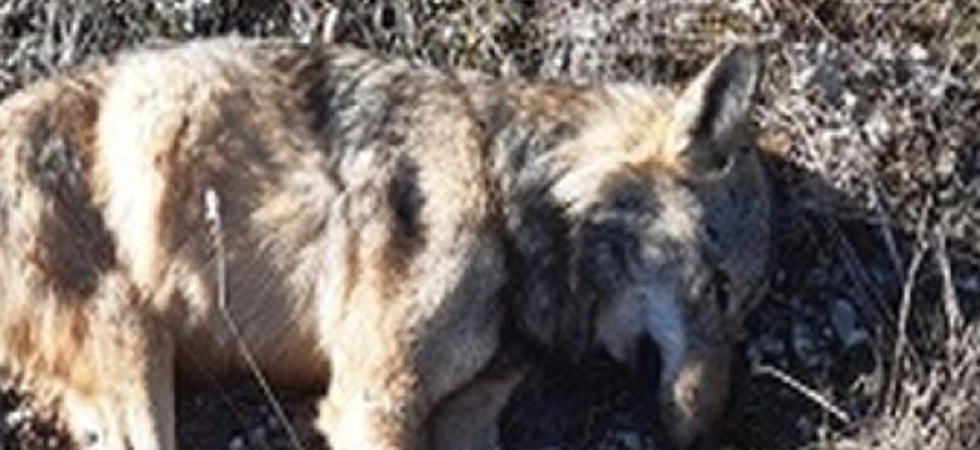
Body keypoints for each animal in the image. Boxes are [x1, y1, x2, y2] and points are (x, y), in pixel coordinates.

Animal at [0, 37, 770, 450]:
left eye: (745, 314)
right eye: (720, 287)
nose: (708, 432)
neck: (510, 191)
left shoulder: (469, 412)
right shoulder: (377, 399)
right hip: (135, 346)